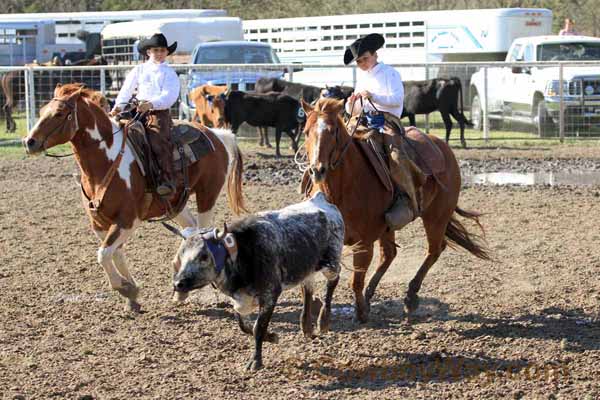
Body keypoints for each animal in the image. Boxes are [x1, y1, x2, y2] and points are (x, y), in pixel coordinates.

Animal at [22, 83, 244, 312]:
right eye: (42, 111)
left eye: (59, 113)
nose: (29, 142)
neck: (106, 161)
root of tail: (217, 135)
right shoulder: (99, 223)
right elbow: (114, 253)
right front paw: (132, 293)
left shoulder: (128, 220)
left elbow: (103, 254)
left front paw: (125, 288)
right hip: (177, 204)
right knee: (190, 230)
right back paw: (180, 288)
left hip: (207, 195)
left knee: (201, 232)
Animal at [302, 98, 490, 324]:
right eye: (306, 132)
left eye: (333, 131)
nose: (317, 170)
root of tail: (442, 146)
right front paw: (322, 312)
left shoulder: (364, 242)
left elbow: (355, 280)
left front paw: (360, 313)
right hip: (390, 226)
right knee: (390, 254)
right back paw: (371, 295)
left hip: (437, 216)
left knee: (434, 249)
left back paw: (410, 296)